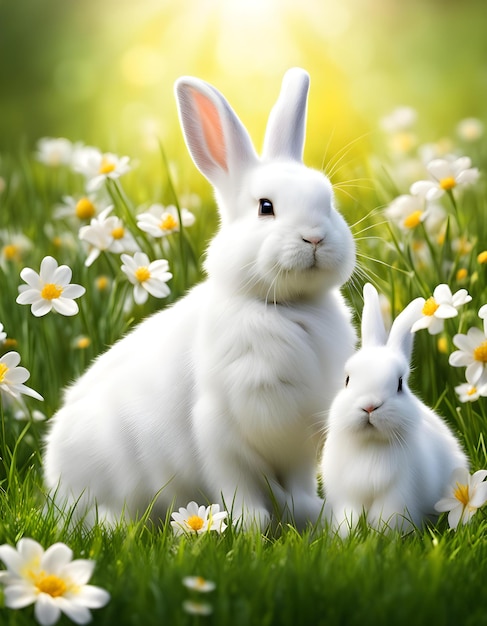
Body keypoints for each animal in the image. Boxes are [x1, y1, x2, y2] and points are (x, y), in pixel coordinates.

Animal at [43, 68, 356, 528]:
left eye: (329, 202)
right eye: (265, 207)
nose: (315, 237)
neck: (288, 308)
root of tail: (53, 474)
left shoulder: (299, 444)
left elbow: (297, 489)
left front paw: (312, 516)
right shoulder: (219, 429)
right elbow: (239, 487)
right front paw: (247, 527)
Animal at [320, 282, 468, 532]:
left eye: (400, 384)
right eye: (347, 379)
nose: (369, 407)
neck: (371, 445)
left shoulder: (397, 495)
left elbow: (387, 518)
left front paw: (384, 536)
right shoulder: (348, 497)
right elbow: (348, 518)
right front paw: (345, 535)